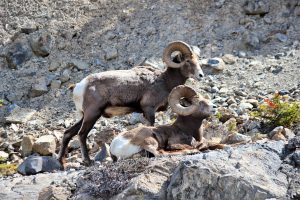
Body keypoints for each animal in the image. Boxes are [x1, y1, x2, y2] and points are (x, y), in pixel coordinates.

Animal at [58, 41, 204, 165]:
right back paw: (88, 162)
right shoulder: (149, 110)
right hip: (92, 115)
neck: (165, 81)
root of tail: (78, 87)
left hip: (84, 116)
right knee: (82, 134)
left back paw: (61, 163)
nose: (201, 75)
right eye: (187, 60)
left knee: (68, 133)